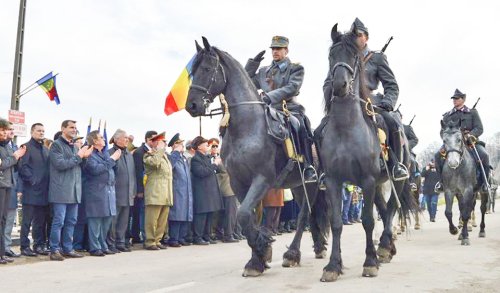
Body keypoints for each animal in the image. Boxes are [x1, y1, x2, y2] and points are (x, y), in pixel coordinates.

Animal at [184, 37, 328, 276]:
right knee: (309, 213)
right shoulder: (238, 182)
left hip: (311, 183)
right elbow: (247, 218)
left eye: (206, 69)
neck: (246, 128)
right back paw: (317, 247)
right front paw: (258, 257)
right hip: (297, 186)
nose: (191, 106)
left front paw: (262, 249)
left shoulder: (262, 179)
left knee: (304, 215)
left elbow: (243, 215)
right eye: (192, 72)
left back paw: (293, 254)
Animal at [318, 25, 416, 280]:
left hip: (396, 179)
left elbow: (368, 221)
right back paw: (387, 247)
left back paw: (383, 247)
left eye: (354, 56)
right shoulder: (333, 180)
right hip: (379, 183)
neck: (346, 128)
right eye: (331, 55)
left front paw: (370, 261)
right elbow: (336, 222)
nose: (339, 85)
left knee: (390, 208)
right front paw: (333, 265)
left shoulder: (367, 179)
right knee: (383, 207)